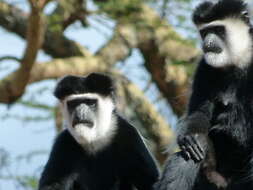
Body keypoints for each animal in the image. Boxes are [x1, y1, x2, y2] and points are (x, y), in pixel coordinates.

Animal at [156, 0, 253, 189]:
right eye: (205, 32)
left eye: (218, 30)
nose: (208, 42)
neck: (240, 60)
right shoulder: (204, 67)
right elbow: (199, 112)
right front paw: (192, 138)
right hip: (210, 176)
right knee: (188, 156)